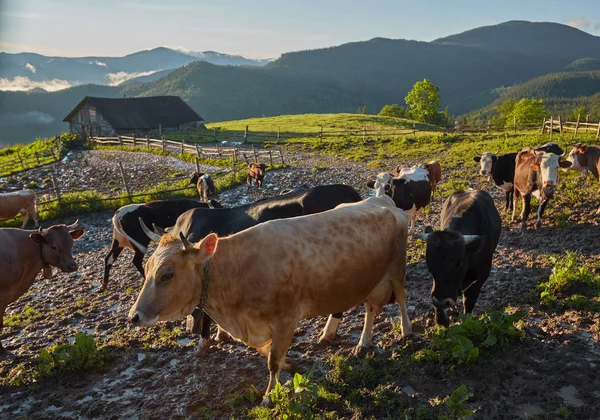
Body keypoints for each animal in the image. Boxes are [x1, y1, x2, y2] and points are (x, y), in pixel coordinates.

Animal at [414, 191, 500, 328]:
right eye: (429, 265)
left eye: (458, 264)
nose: (442, 302)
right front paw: (441, 320)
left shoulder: (483, 272)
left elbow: (469, 299)